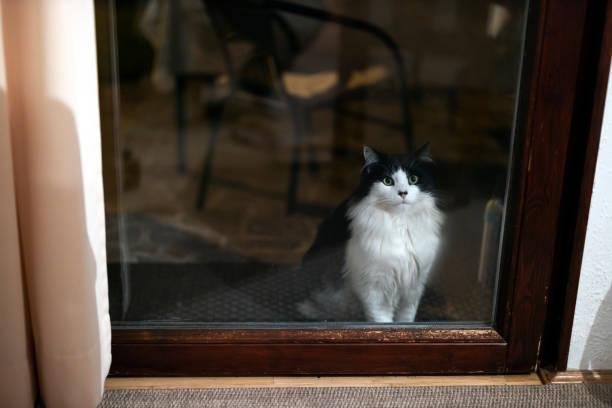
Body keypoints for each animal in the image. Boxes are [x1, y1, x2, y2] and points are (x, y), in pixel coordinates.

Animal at [298, 145, 442, 324]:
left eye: (413, 179)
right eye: (387, 181)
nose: (403, 193)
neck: (399, 223)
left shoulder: (413, 287)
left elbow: (406, 318)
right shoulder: (373, 286)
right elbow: (381, 320)